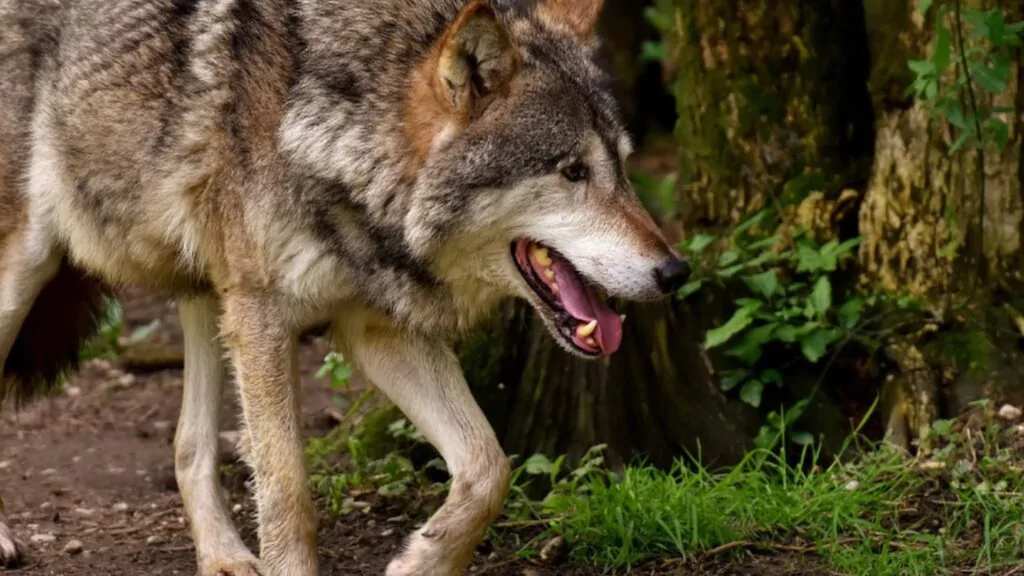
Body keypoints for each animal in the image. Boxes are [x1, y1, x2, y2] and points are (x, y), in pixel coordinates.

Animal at [0, 0, 690, 573]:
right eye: (573, 171)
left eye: (622, 168)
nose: (675, 272)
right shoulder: (264, 318)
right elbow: (289, 496)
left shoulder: (373, 327)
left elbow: (488, 468)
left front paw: (423, 562)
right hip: (29, 267)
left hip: (207, 293)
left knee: (189, 446)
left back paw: (224, 557)